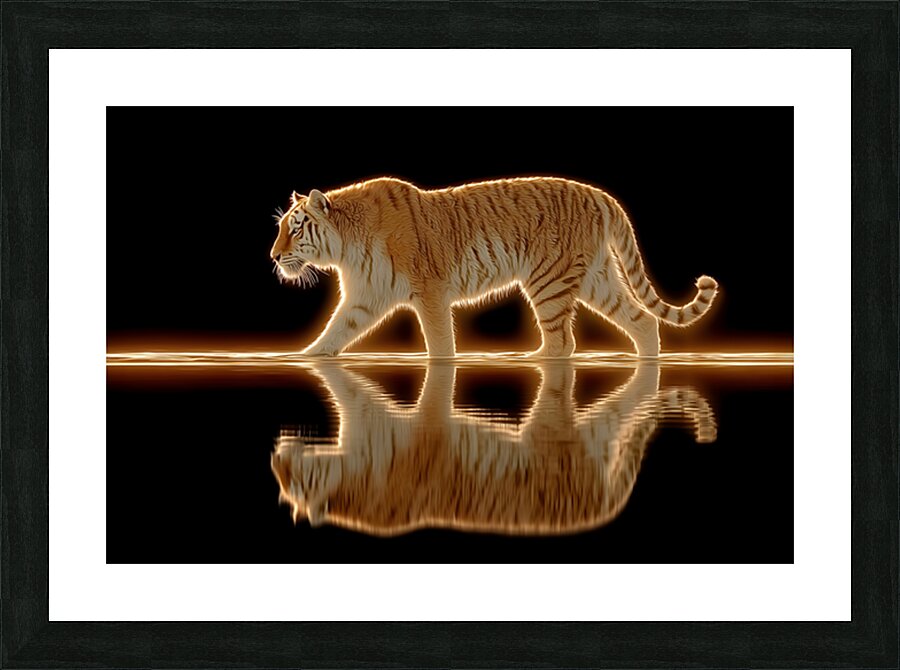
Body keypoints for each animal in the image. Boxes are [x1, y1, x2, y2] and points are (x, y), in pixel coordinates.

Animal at [270, 177, 719, 358]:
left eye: (295, 228)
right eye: (281, 228)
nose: (273, 257)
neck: (348, 247)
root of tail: (600, 195)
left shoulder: (430, 293)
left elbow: (440, 344)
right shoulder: (365, 297)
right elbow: (333, 333)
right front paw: (302, 357)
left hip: (549, 282)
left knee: (562, 342)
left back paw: (531, 361)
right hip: (597, 279)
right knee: (642, 320)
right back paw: (649, 361)